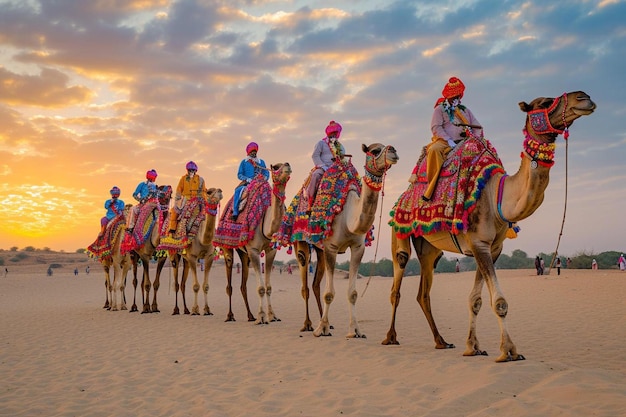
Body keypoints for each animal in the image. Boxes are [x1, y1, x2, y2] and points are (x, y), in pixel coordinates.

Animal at [216, 161, 292, 324]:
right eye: (276, 167)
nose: (287, 165)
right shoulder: (254, 250)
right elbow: (261, 288)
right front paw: (262, 317)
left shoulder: (271, 250)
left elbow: (268, 287)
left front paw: (272, 316)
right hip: (227, 248)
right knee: (229, 284)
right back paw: (230, 315)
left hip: (244, 254)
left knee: (243, 284)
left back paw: (250, 315)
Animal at [276, 143, 398, 334]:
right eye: (375, 150)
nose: (393, 151)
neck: (348, 214)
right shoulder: (331, 247)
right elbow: (329, 294)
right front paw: (322, 329)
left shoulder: (357, 247)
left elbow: (352, 293)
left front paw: (354, 331)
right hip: (301, 243)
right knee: (305, 286)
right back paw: (308, 324)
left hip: (320, 250)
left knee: (315, 285)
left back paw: (325, 322)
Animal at [380, 90, 596, 360]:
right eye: (545, 102)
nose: (584, 97)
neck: (497, 196)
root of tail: (403, 196)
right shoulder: (479, 242)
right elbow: (499, 302)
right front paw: (509, 351)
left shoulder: (492, 248)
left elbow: (476, 300)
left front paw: (473, 347)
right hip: (399, 231)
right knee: (396, 285)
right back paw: (390, 338)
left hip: (430, 248)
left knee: (423, 293)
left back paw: (441, 341)